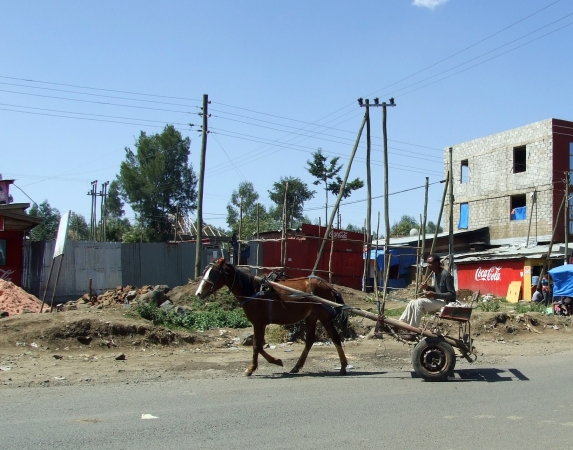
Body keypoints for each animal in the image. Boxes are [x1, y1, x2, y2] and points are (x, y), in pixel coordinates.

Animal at [196, 256, 348, 376]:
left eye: (214, 273)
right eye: (205, 272)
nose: (198, 293)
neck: (254, 290)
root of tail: (329, 286)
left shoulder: (259, 322)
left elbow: (257, 345)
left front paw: (254, 367)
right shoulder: (259, 323)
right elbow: (259, 345)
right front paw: (274, 361)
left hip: (324, 316)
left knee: (335, 337)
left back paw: (343, 366)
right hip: (311, 316)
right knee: (310, 340)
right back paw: (297, 366)